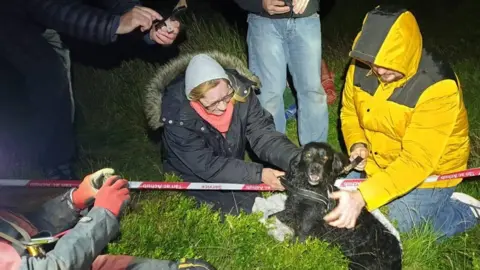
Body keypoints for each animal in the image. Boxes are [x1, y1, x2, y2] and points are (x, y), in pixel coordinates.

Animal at [274, 142, 402, 268]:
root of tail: (398, 257)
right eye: (308, 155)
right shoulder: (290, 210)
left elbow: (294, 247)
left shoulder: (306, 227)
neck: (310, 189)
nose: (315, 168)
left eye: (325, 158)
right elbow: (275, 215)